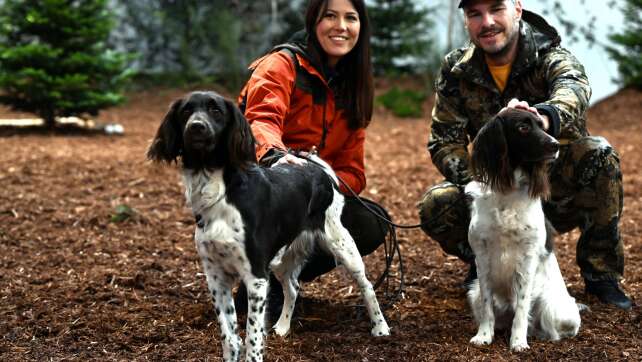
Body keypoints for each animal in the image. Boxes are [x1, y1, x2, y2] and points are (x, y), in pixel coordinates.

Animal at [148, 91, 388, 362]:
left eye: (216, 110)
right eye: (186, 111)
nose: (196, 127)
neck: (220, 191)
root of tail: (314, 167)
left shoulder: (256, 277)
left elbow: (252, 338)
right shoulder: (217, 277)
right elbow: (230, 337)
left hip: (341, 243)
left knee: (367, 286)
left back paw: (380, 328)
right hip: (281, 259)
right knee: (293, 288)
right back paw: (283, 327)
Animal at [464, 108, 580, 350]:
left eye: (542, 125)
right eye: (523, 128)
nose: (556, 144)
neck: (508, 191)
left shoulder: (527, 257)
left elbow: (522, 307)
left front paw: (518, 342)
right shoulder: (482, 256)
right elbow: (488, 306)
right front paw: (484, 335)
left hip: (556, 309)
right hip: (474, 293)